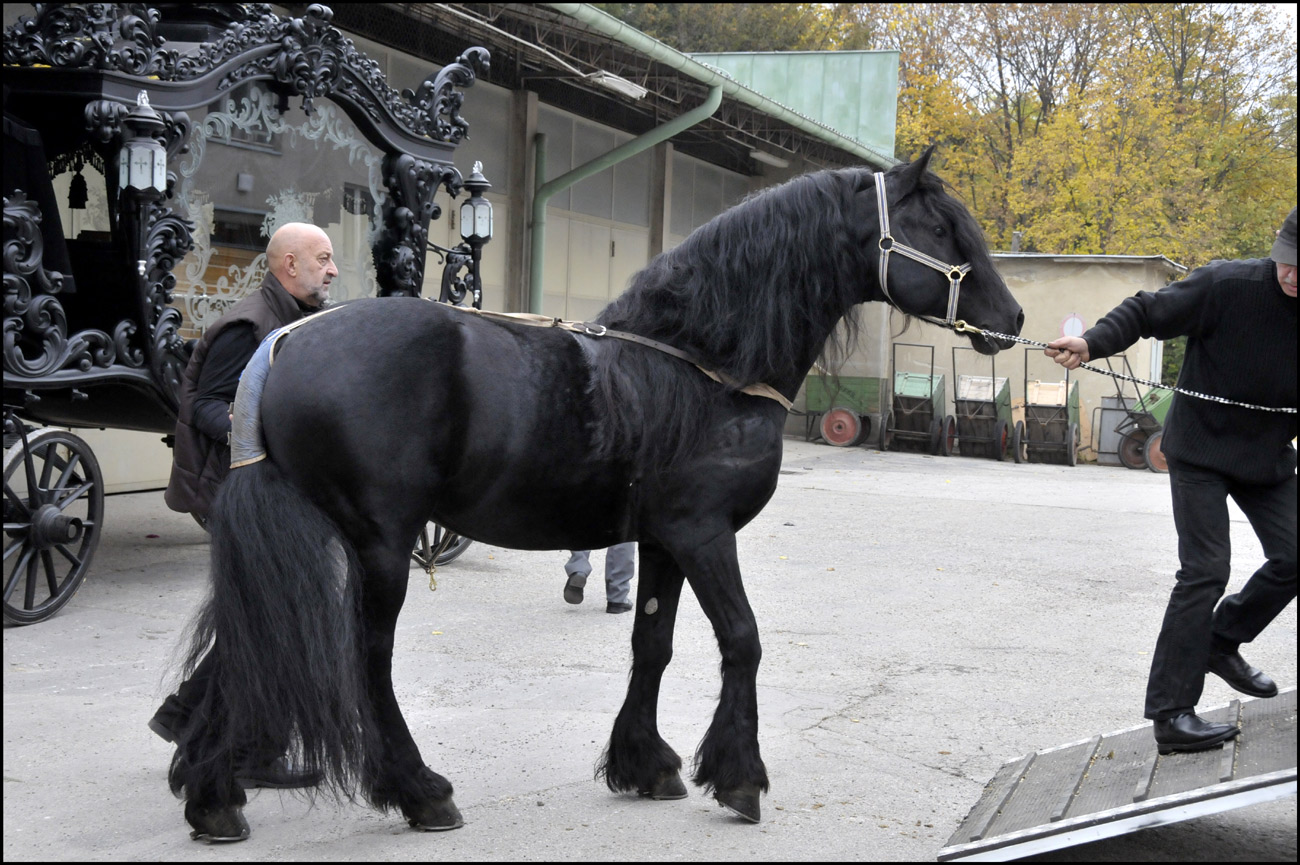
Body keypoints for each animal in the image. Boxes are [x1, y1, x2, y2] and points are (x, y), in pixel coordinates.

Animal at [169, 146, 1024, 841]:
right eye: (939, 226)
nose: (1012, 318)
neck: (698, 361)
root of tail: (285, 343)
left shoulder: (662, 540)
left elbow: (654, 644)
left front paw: (644, 764)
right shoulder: (705, 532)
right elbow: (742, 639)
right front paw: (739, 775)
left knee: (256, 640)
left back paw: (213, 791)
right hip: (377, 544)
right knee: (360, 656)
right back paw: (416, 790)